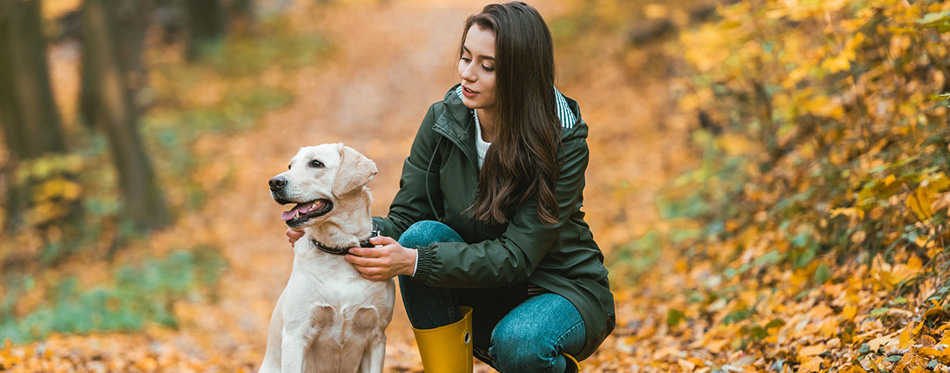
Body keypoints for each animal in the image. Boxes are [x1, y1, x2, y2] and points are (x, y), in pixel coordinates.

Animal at [258, 143, 396, 372]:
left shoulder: (377, 336)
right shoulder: (296, 336)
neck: (338, 249)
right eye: (290, 165)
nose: (274, 182)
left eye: (316, 163)